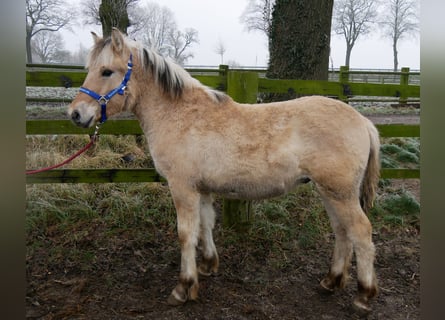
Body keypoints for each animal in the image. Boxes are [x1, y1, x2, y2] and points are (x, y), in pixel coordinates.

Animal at [67, 28, 380, 314]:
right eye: (90, 69)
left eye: (107, 71)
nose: (76, 114)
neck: (180, 114)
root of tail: (363, 121)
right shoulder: (202, 189)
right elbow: (205, 225)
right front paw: (208, 264)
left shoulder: (182, 188)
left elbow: (185, 234)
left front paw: (184, 287)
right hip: (329, 191)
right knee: (342, 231)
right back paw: (331, 280)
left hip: (340, 193)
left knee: (361, 232)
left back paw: (364, 295)